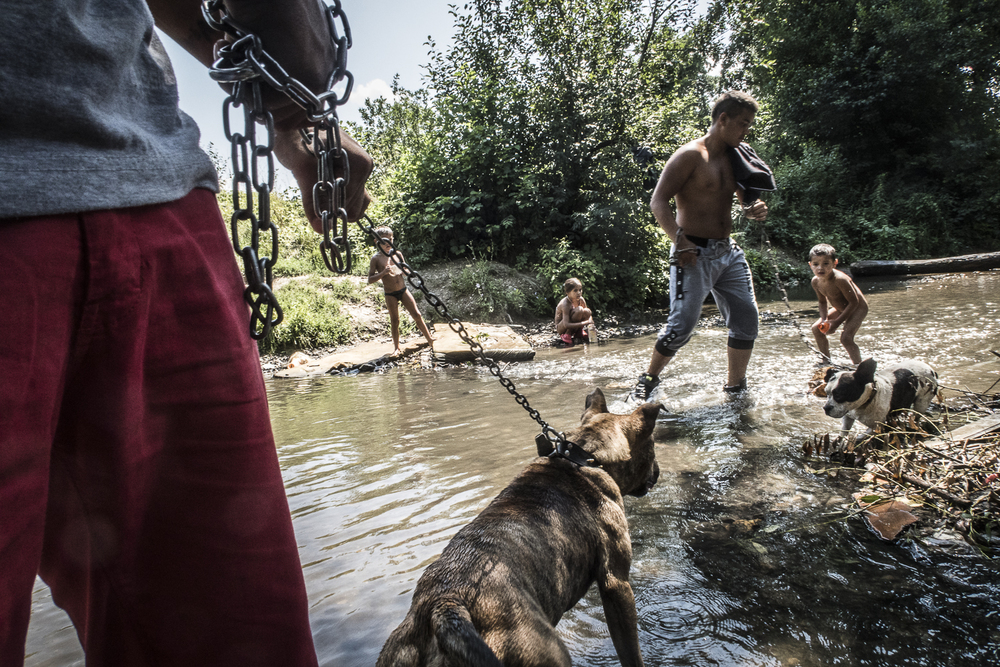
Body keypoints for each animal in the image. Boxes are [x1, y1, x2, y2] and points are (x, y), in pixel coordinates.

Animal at [378, 388, 660, 664]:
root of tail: (444, 605)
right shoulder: (616, 582)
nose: (657, 471)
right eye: (653, 447)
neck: (582, 457)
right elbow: (630, 651)